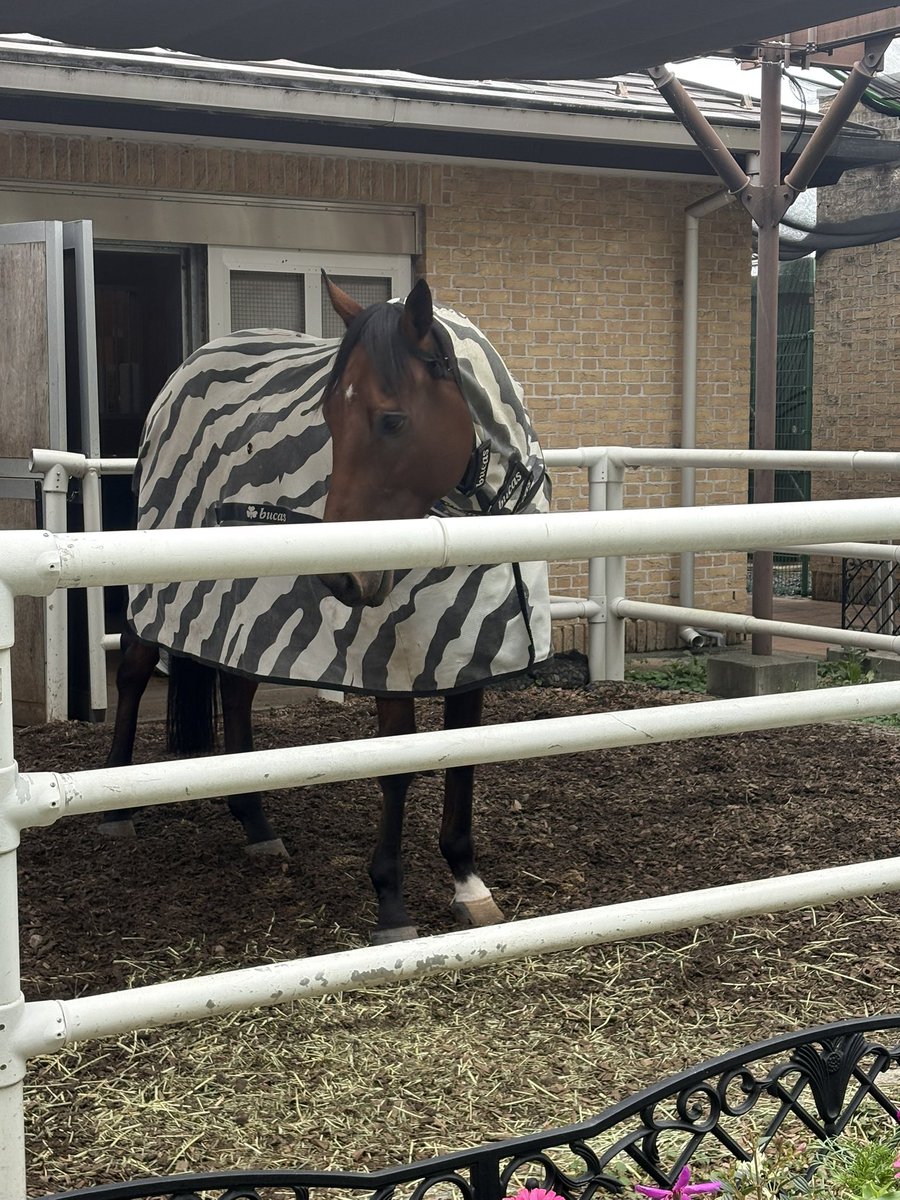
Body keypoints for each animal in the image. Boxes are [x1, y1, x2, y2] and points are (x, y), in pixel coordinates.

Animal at [101, 275, 551, 944]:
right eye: (329, 419)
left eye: (391, 419)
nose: (341, 573)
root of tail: (185, 373)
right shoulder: (393, 654)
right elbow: (398, 765)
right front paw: (391, 902)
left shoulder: (472, 654)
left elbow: (462, 758)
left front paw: (468, 883)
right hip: (159, 586)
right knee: (133, 673)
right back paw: (116, 809)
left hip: (245, 602)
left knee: (237, 687)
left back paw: (256, 824)